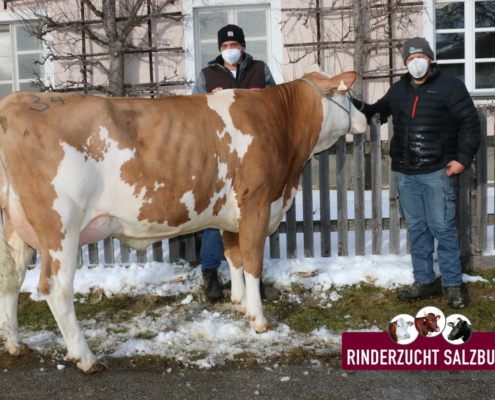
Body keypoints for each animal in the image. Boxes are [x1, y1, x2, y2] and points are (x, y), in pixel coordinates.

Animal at [0, 64, 366, 374]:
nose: (364, 117)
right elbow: (253, 262)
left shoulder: (232, 214)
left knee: (11, 278)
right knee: (56, 287)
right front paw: (260, 321)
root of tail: (17, 99)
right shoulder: (257, 203)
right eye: (348, 94)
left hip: (15, 227)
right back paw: (86, 358)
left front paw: (241, 304)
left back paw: (16, 344)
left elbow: (234, 257)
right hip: (60, 225)